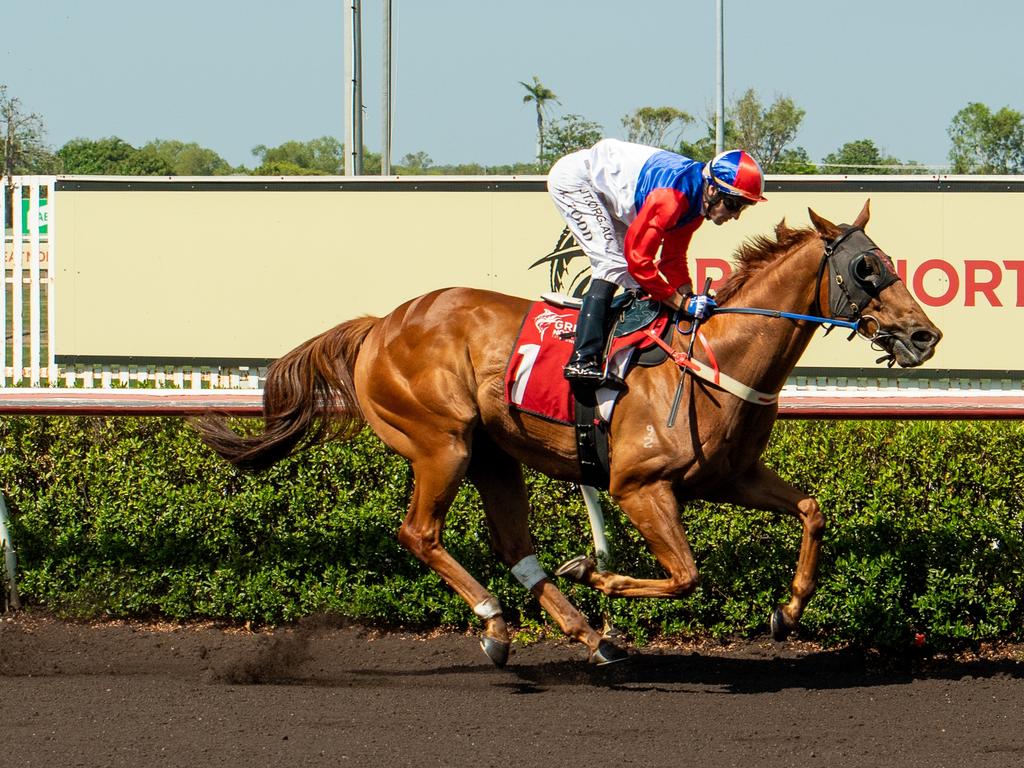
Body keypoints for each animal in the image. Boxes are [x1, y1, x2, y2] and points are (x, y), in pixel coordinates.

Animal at [195, 202, 937, 667]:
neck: (715, 360)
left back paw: (573, 634)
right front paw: (594, 571)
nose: (925, 333)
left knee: (512, 542)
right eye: (866, 268)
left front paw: (788, 611)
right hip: (442, 441)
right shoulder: (639, 486)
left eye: (892, 263)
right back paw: (502, 619)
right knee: (419, 533)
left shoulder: (730, 477)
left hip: (493, 453)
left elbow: (812, 510)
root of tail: (380, 324)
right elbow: (686, 575)